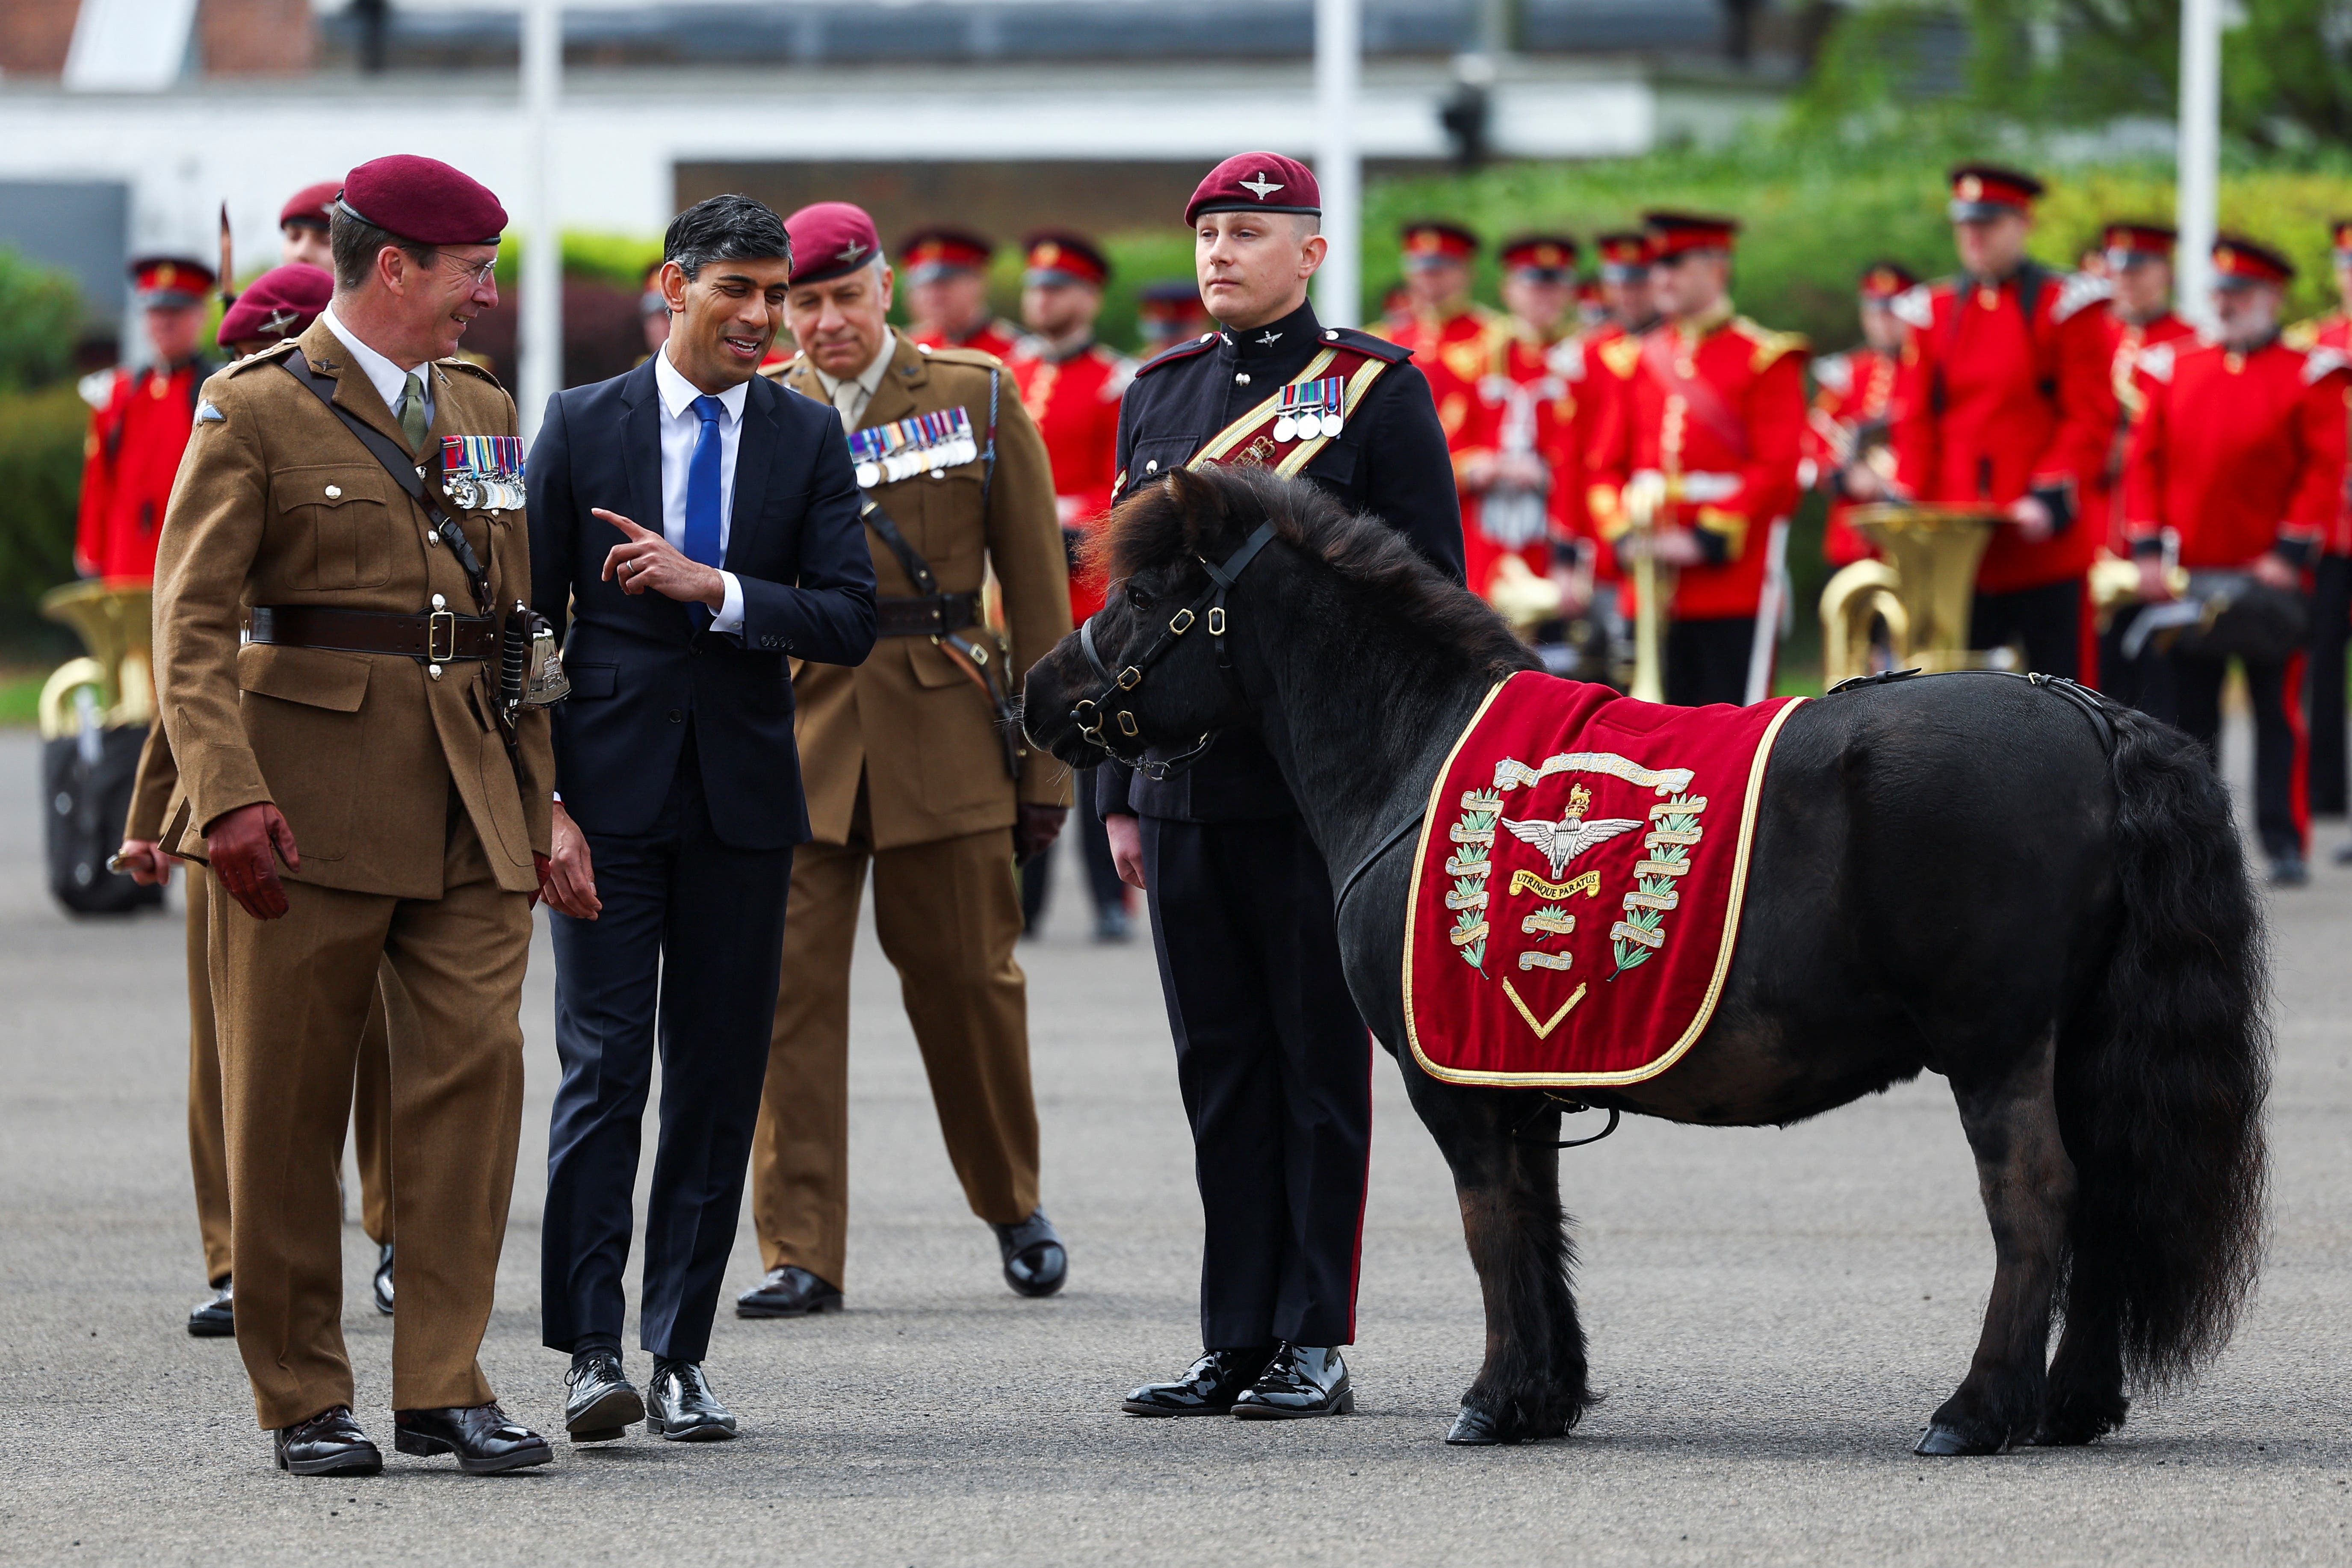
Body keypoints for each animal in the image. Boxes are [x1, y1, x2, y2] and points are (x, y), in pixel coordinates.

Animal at [1021, 465, 2267, 1457]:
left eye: (1142, 595)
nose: (1038, 693)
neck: (1415, 750)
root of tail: (2088, 712)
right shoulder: (1513, 1065)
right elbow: (1539, 1221)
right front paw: (1544, 1393)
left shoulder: (1450, 1083)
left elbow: (1490, 1224)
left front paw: (1492, 1397)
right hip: (2079, 1046)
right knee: (2105, 1193)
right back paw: (2068, 1404)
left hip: (1996, 1046)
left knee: (2036, 1199)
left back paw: (1972, 1410)